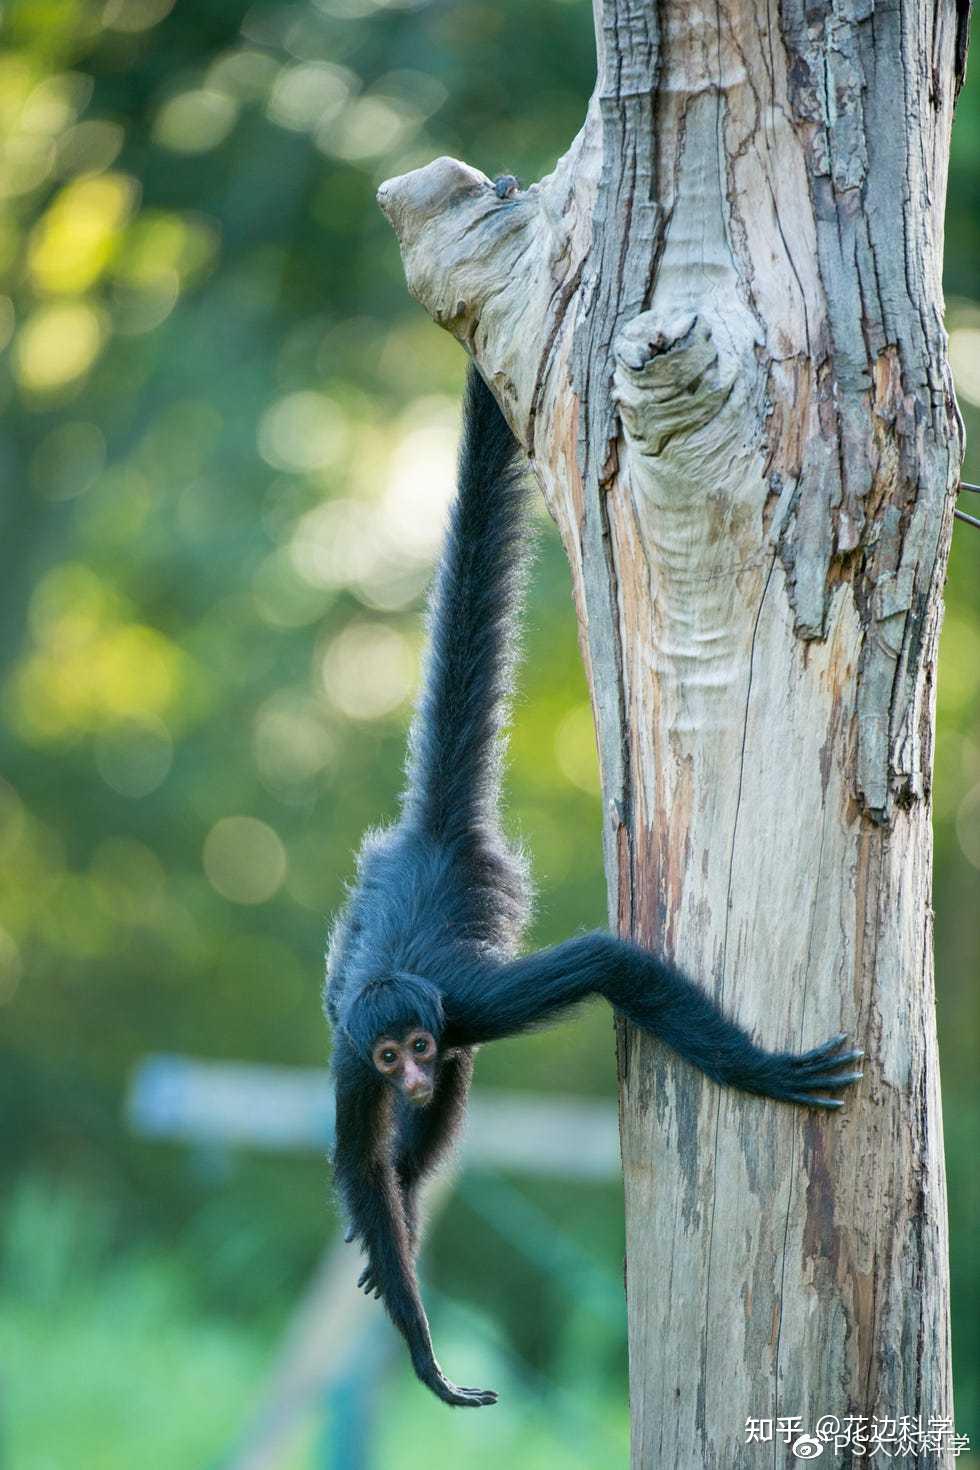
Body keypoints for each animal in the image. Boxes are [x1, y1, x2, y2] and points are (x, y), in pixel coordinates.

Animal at [326, 361, 863, 1405]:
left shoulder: (463, 1004)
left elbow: (613, 961)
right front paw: (422, 1347)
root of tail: (431, 836)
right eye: (389, 1055)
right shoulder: (349, 1059)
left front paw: (758, 1069)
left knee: (451, 1098)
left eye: (415, 1043)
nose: (411, 1070)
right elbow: (360, 1167)